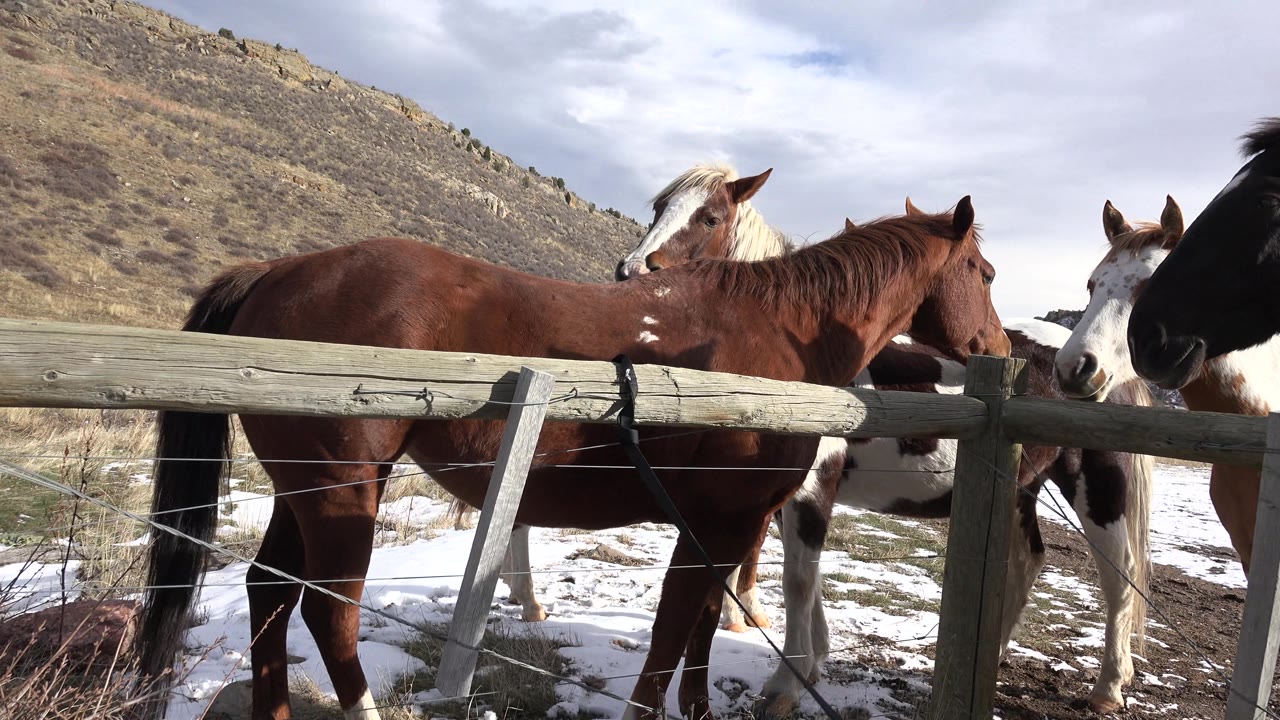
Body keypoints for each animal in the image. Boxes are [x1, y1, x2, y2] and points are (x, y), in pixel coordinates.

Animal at [135, 203, 1003, 720]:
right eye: (987, 273)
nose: (994, 346)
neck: (774, 341)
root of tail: (279, 272)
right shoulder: (718, 522)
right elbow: (671, 632)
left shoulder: (728, 527)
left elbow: (697, 630)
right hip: (342, 494)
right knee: (329, 610)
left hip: (309, 491)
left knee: (270, 592)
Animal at [606, 162, 1154, 714]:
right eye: (658, 208)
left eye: (710, 216)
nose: (629, 273)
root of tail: (1099, 362)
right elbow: (804, 576)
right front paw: (812, 661)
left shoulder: (808, 489)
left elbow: (797, 578)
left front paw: (785, 684)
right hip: (1021, 488)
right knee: (1028, 564)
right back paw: (992, 658)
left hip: (1098, 491)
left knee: (1118, 579)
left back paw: (1108, 686)